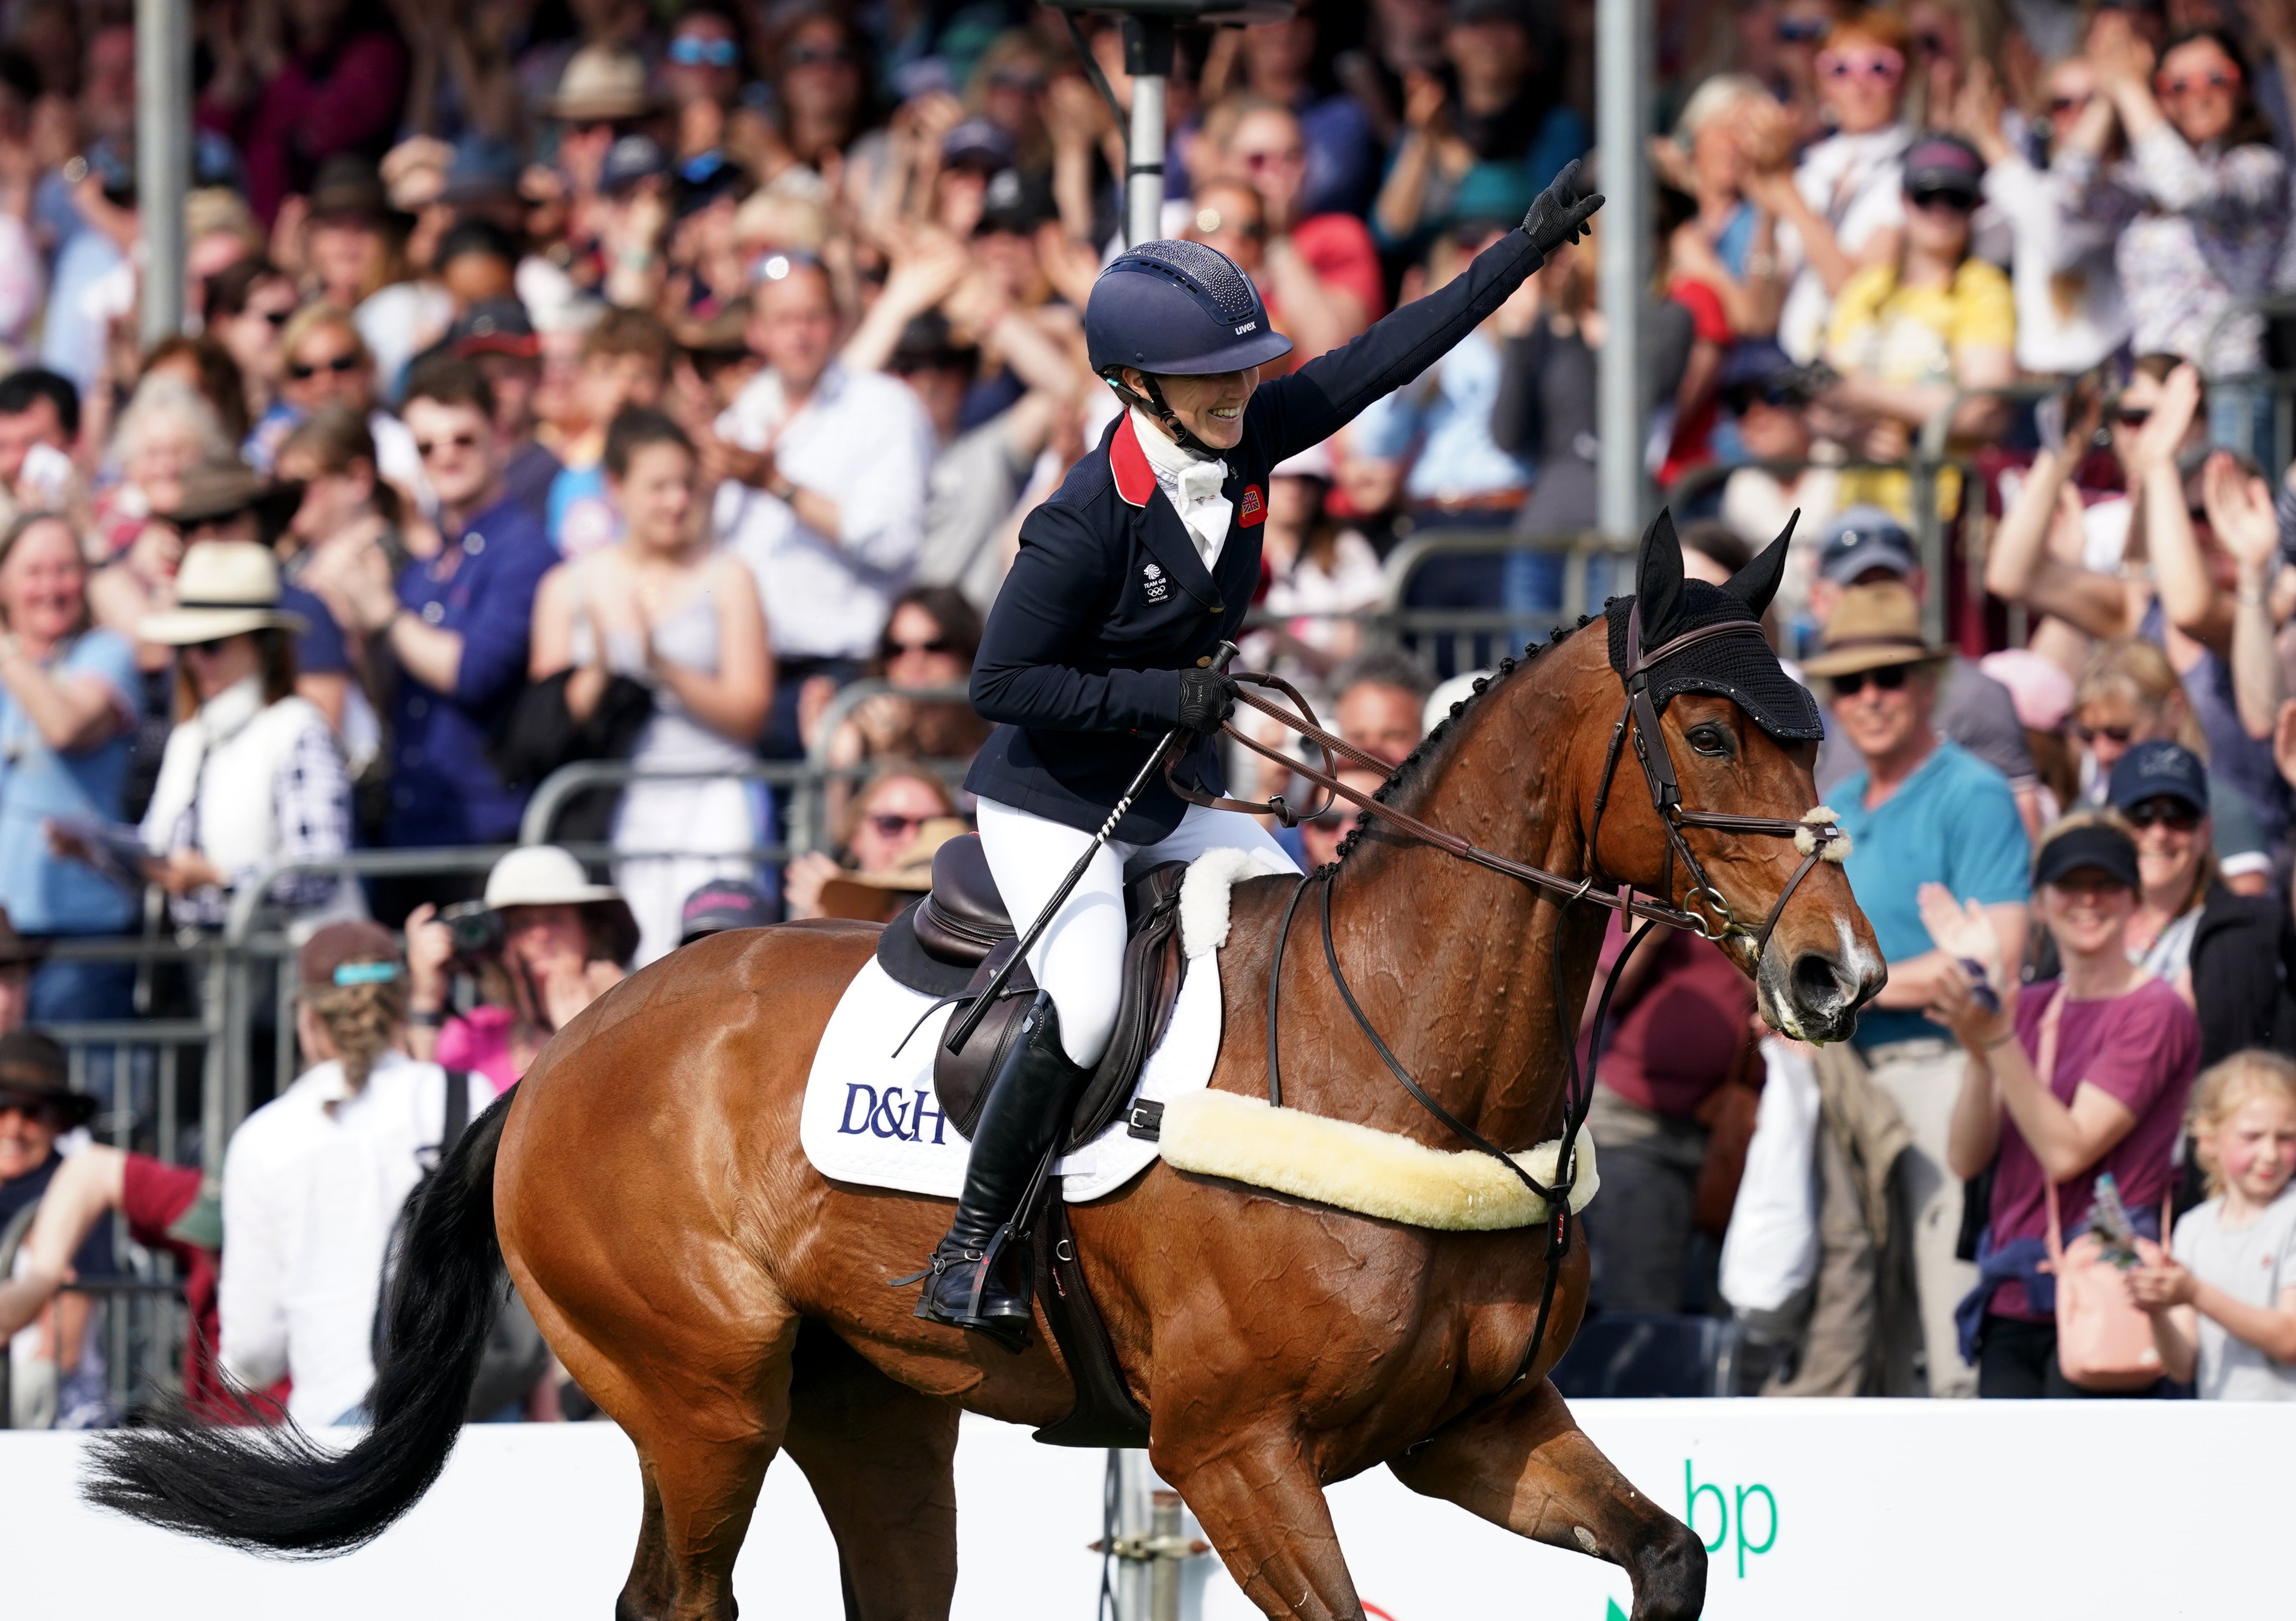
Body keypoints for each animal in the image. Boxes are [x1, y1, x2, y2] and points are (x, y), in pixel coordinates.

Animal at [85, 518, 1883, 1616]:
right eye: (1709, 732)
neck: (1406, 1044)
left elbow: (1668, 1557)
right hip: (699, 1397)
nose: (1837, 972)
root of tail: (556, 1059)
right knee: (670, 1592)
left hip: (871, 1414)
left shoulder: (1476, 1421)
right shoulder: (1232, 1452)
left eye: (1814, 726)